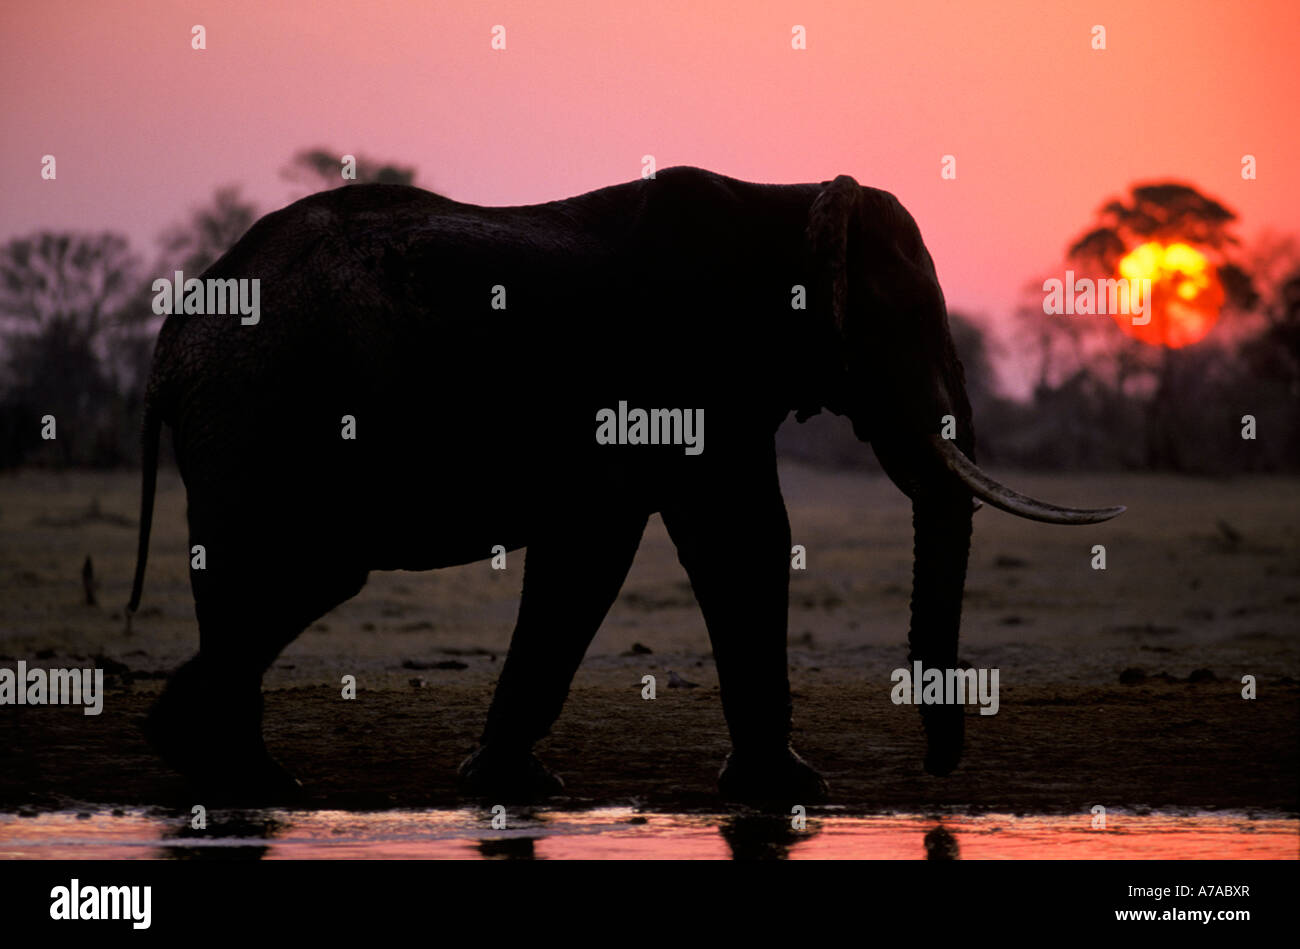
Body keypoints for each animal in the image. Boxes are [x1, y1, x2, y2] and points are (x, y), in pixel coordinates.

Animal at [126, 166, 1124, 804]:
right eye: (908, 321)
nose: (940, 771)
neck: (787, 200)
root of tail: (172, 334)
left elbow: (619, 541)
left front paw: (510, 783)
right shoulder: (684, 369)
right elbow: (725, 535)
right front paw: (793, 788)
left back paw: (227, 767)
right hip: (267, 414)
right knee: (306, 569)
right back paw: (233, 769)